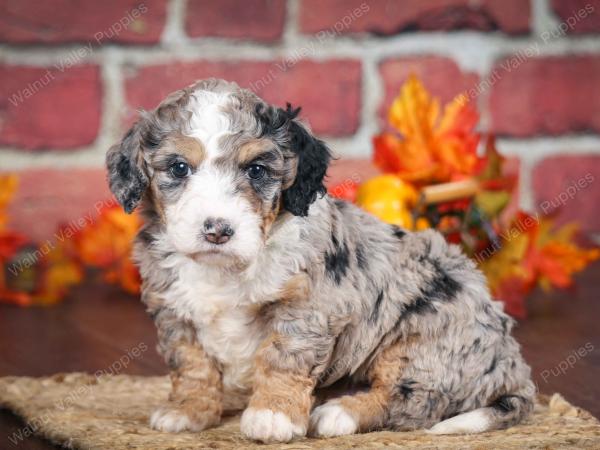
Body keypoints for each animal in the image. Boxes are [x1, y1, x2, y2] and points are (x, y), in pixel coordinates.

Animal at [106, 78, 536, 442]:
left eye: (257, 170)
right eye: (179, 168)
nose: (217, 229)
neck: (225, 270)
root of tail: (512, 364)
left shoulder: (306, 307)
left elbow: (282, 359)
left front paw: (272, 415)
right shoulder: (175, 313)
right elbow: (192, 365)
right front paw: (188, 411)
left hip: (423, 342)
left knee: (413, 400)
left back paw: (338, 413)